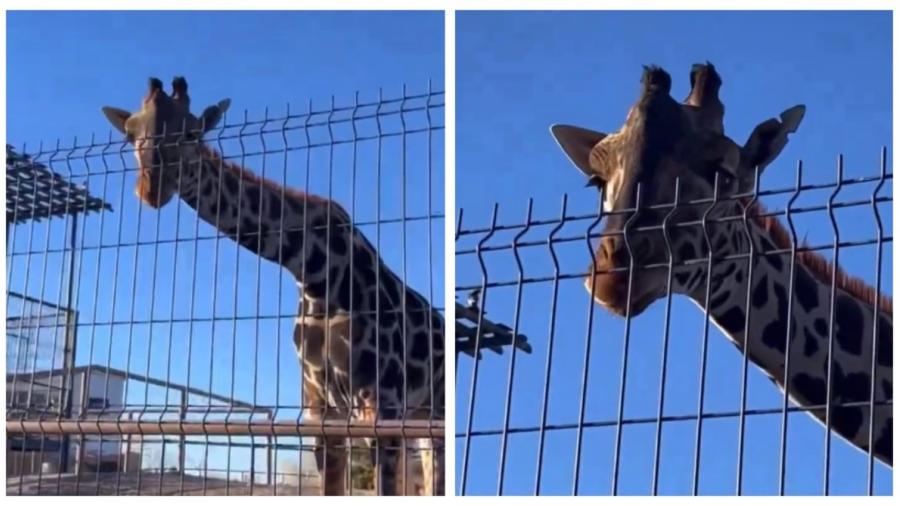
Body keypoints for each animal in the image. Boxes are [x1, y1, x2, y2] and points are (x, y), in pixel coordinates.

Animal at [101, 77, 445, 495]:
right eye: (130, 133)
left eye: (193, 132)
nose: (150, 190)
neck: (315, 276)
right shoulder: (319, 409)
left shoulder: (382, 405)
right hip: (421, 417)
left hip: (432, 411)